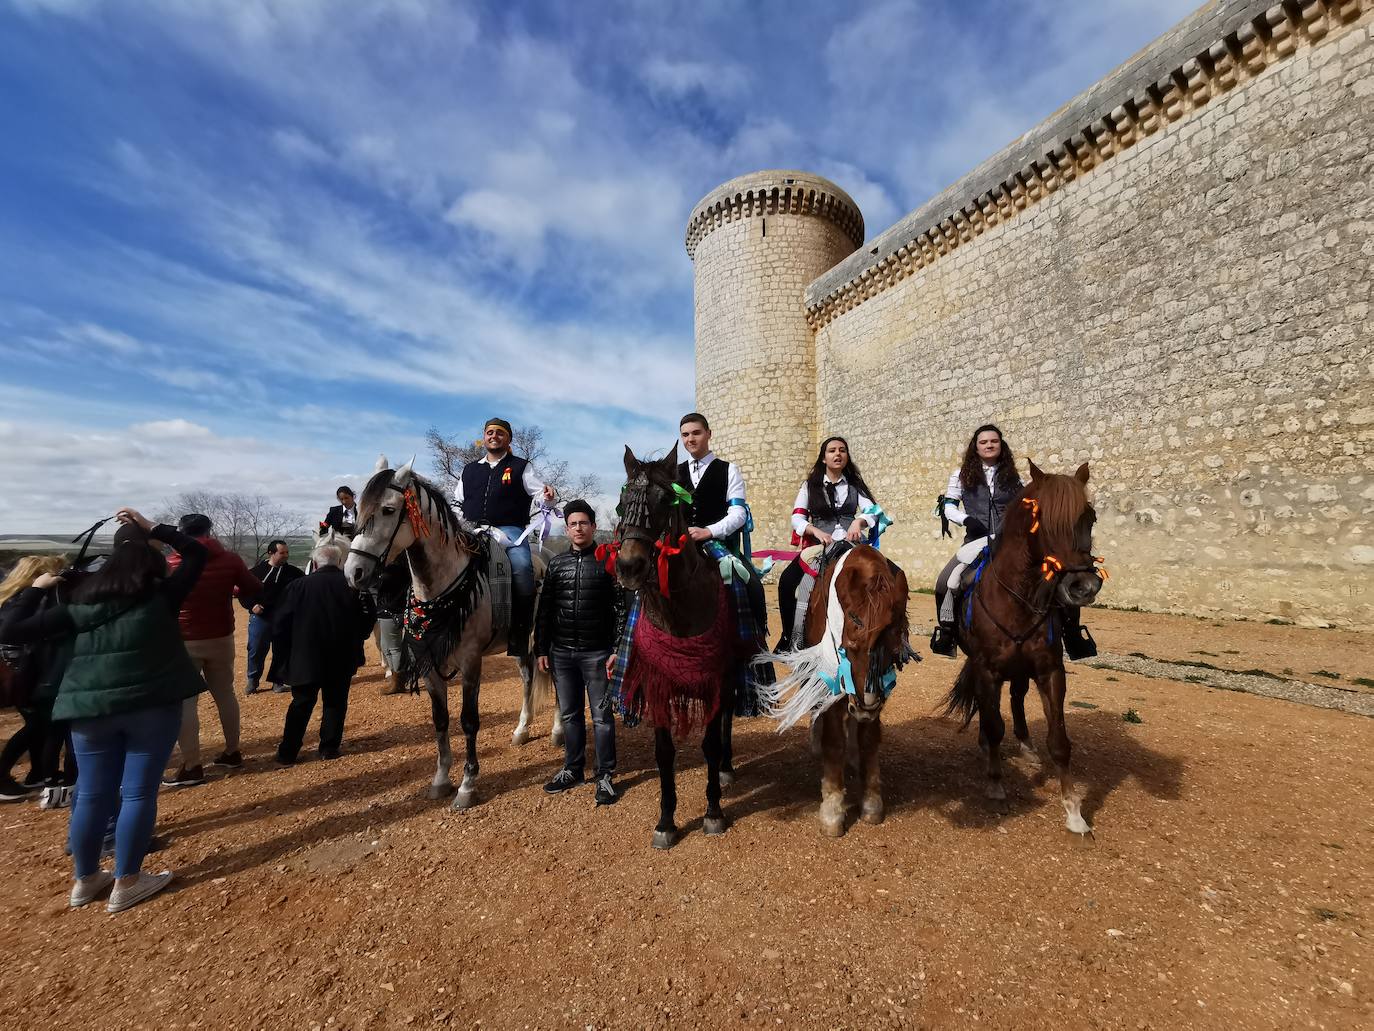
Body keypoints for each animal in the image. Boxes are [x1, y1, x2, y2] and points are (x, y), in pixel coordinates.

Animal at [342, 456, 557, 813]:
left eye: (388, 509)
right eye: (359, 510)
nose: (354, 572)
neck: (444, 586)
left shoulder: (470, 662)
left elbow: (468, 720)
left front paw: (467, 786)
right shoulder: (429, 662)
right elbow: (440, 719)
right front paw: (441, 779)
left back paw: (558, 731)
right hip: (521, 645)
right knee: (528, 679)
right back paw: (521, 730)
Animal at [615, 448, 763, 852]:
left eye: (665, 501)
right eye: (623, 504)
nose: (629, 567)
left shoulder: (716, 678)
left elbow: (710, 743)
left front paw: (713, 812)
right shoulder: (658, 682)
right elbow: (664, 753)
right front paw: (666, 821)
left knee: (726, 718)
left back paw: (726, 769)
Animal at [763, 544, 912, 835]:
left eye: (892, 648)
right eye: (851, 643)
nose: (865, 707)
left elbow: (869, 740)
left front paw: (871, 803)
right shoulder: (831, 681)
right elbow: (833, 742)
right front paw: (832, 811)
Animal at [945, 464, 1104, 835]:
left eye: (1089, 517)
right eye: (1041, 519)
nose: (1084, 587)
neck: (1018, 596)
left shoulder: (1050, 671)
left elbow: (1059, 741)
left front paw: (1074, 812)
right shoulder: (986, 668)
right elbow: (992, 725)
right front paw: (995, 785)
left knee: (1016, 696)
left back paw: (1027, 747)